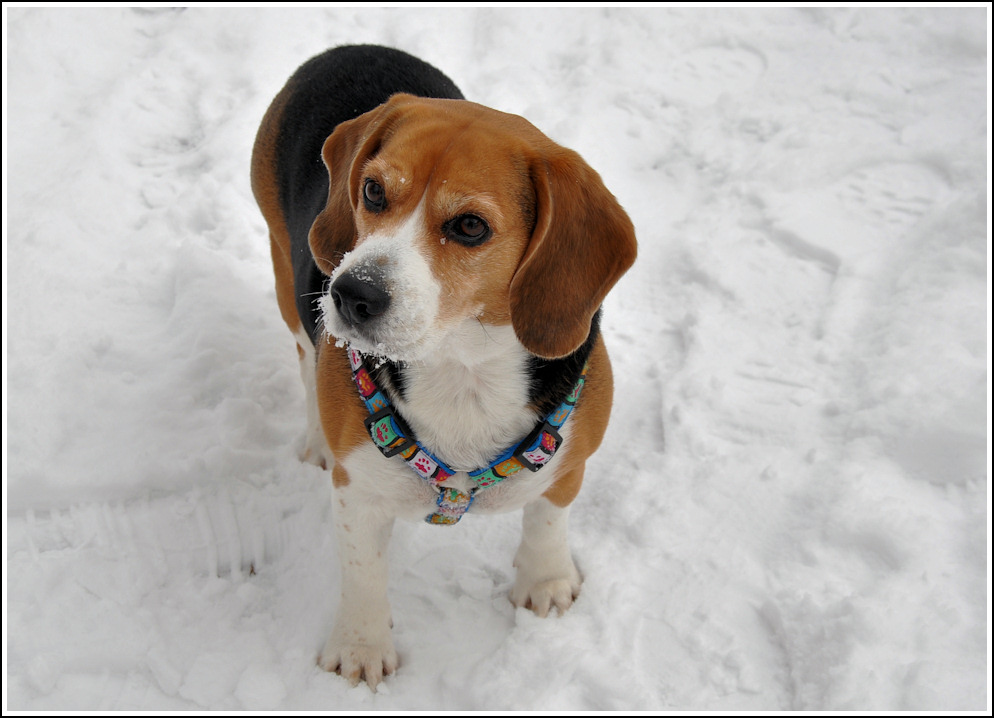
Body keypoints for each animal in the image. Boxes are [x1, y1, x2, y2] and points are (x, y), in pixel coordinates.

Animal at [248, 46, 636, 692]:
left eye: (470, 226)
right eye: (373, 191)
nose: (351, 293)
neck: (462, 371)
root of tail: (347, 49)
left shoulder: (571, 460)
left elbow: (548, 519)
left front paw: (546, 582)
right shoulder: (358, 494)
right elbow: (363, 574)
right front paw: (360, 649)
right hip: (287, 278)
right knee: (305, 358)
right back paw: (316, 437)